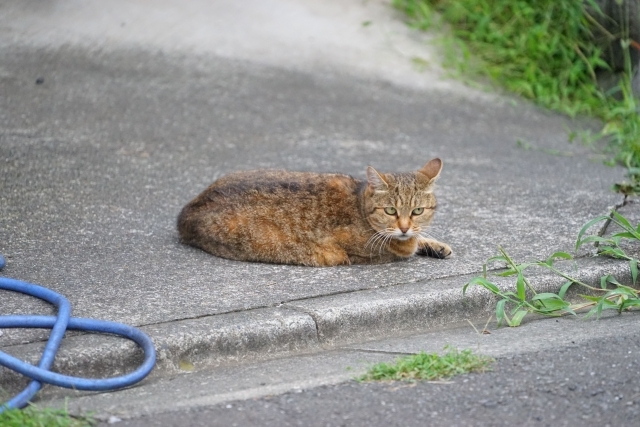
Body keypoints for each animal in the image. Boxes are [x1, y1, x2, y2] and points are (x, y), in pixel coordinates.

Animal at [178, 159, 452, 268]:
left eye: (417, 210)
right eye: (390, 210)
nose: (404, 227)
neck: (359, 203)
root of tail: (185, 212)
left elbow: (419, 238)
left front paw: (435, 245)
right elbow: (409, 247)